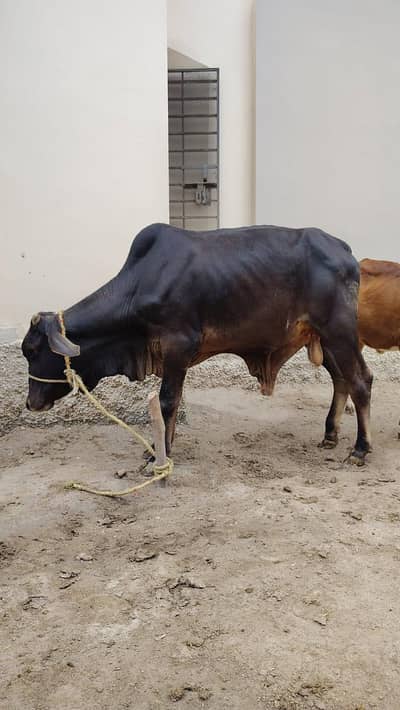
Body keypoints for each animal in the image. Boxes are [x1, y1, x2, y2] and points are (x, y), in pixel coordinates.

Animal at [22, 223, 373, 464]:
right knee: (341, 380)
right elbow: (172, 403)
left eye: (33, 351)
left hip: (339, 332)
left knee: (361, 380)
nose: (31, 403)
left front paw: (158, 454)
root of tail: (343, 248)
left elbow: (167, 401)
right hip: (324, 339)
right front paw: (162, 449)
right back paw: (330, 435)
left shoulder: (178, 346)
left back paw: (360, 449)